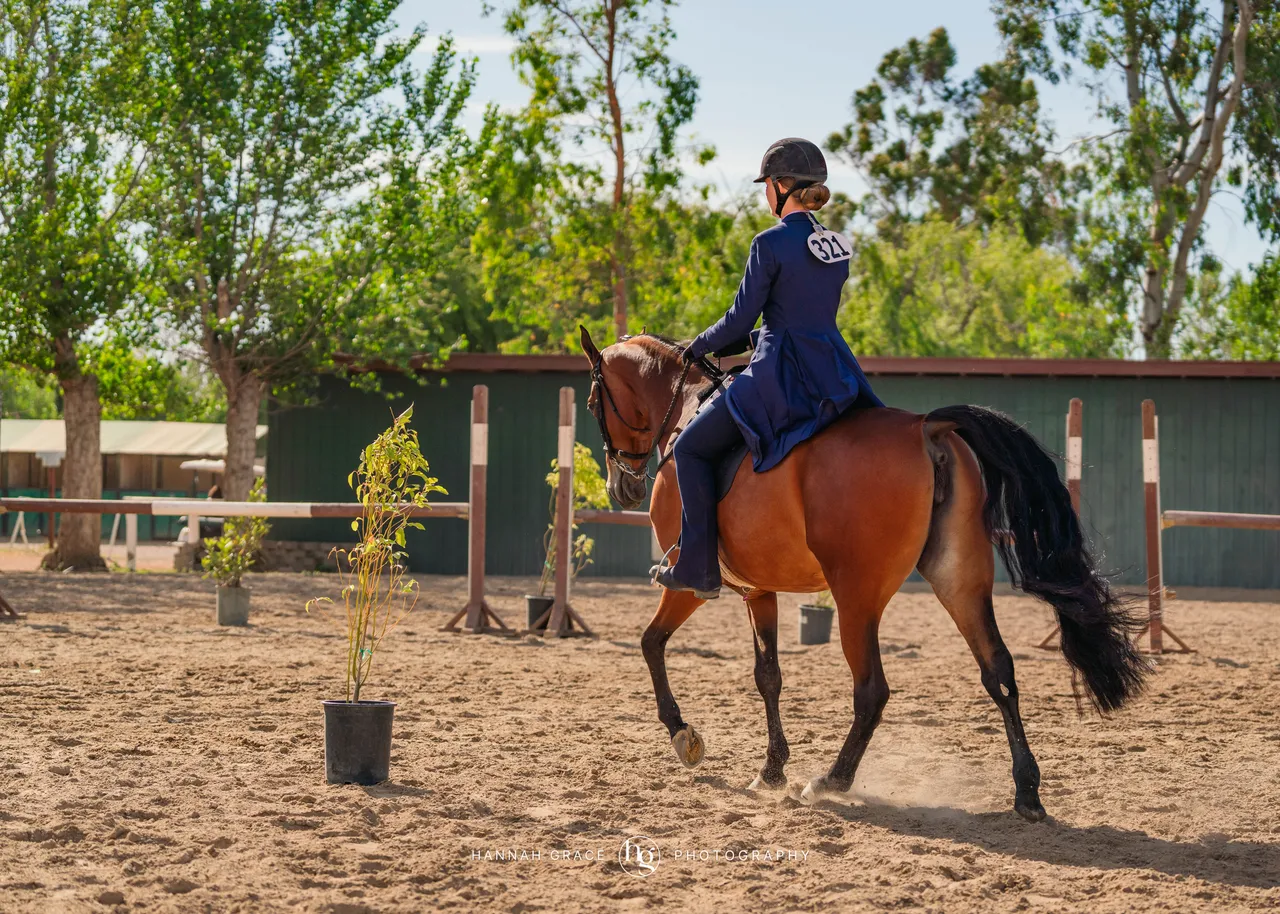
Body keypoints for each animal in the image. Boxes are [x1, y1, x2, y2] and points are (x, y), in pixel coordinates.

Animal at [580, 328, 1147, 822]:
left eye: (590, 404)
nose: (622, 488)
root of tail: (927, 427)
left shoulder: (692, 583)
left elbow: (651, 643)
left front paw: (684, 736)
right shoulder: (759, 590)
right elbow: (768, 676)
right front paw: (771, 770)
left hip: (856, 597)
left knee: (872, 690)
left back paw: (831, 781)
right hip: (960, 583)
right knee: (999, 672)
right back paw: (1027, 793)